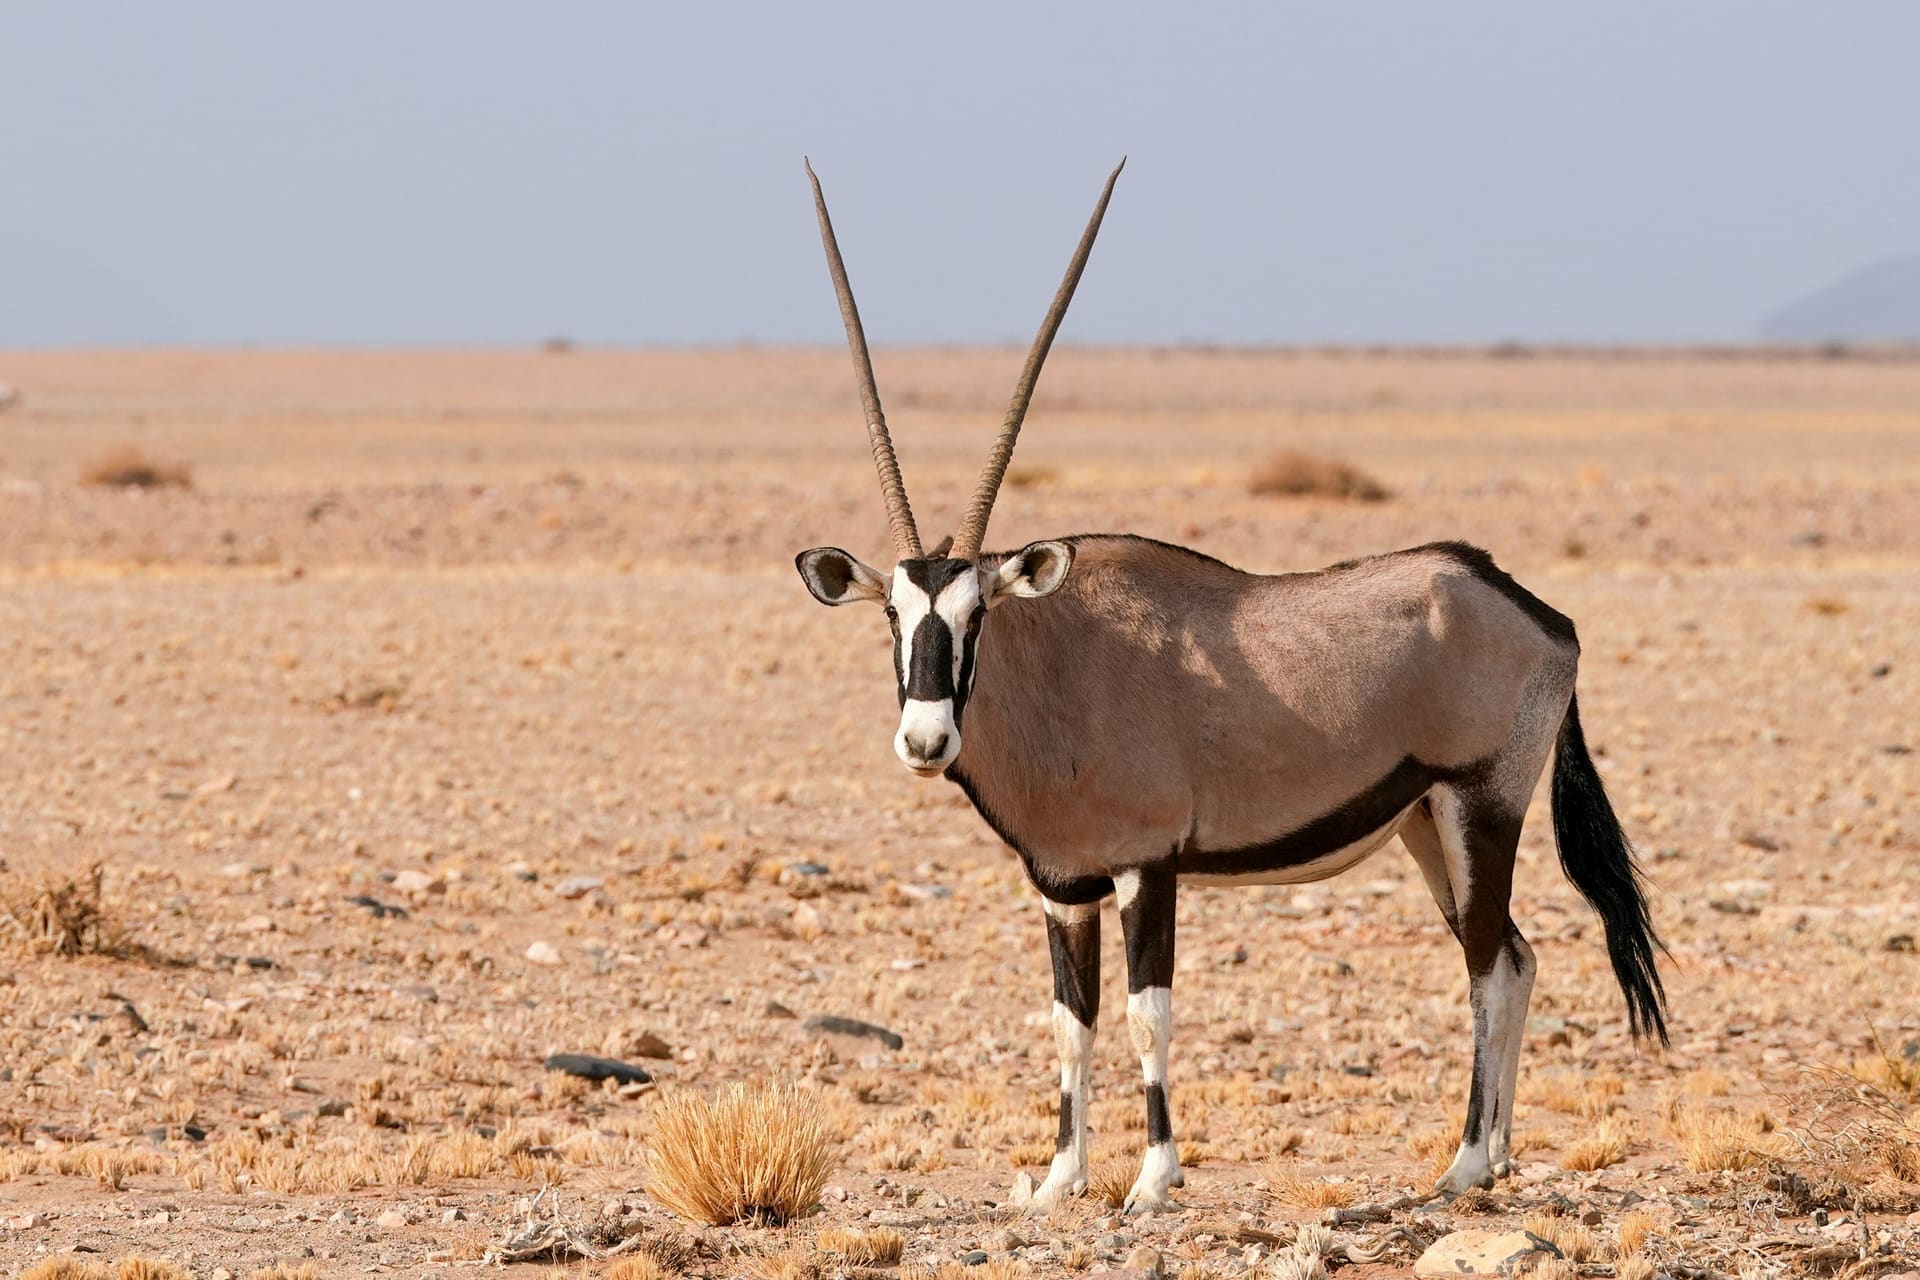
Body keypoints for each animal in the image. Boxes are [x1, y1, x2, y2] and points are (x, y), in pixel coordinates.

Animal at [793, 159, 1668, 1214]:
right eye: (892, 614)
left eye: (977, 616)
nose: (925, 741)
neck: (1060, 671)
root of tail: (1539, 613)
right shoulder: (1062, 885)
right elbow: (1071, 1023)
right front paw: (1058, 1181)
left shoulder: (1148, 866)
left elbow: (1147, 1015)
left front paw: (1152, 1182)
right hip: (1426, 823)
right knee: (1513, 954)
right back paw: (1493, 1156)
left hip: (1482, 803)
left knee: (1488, 968)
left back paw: (1461, 1163)